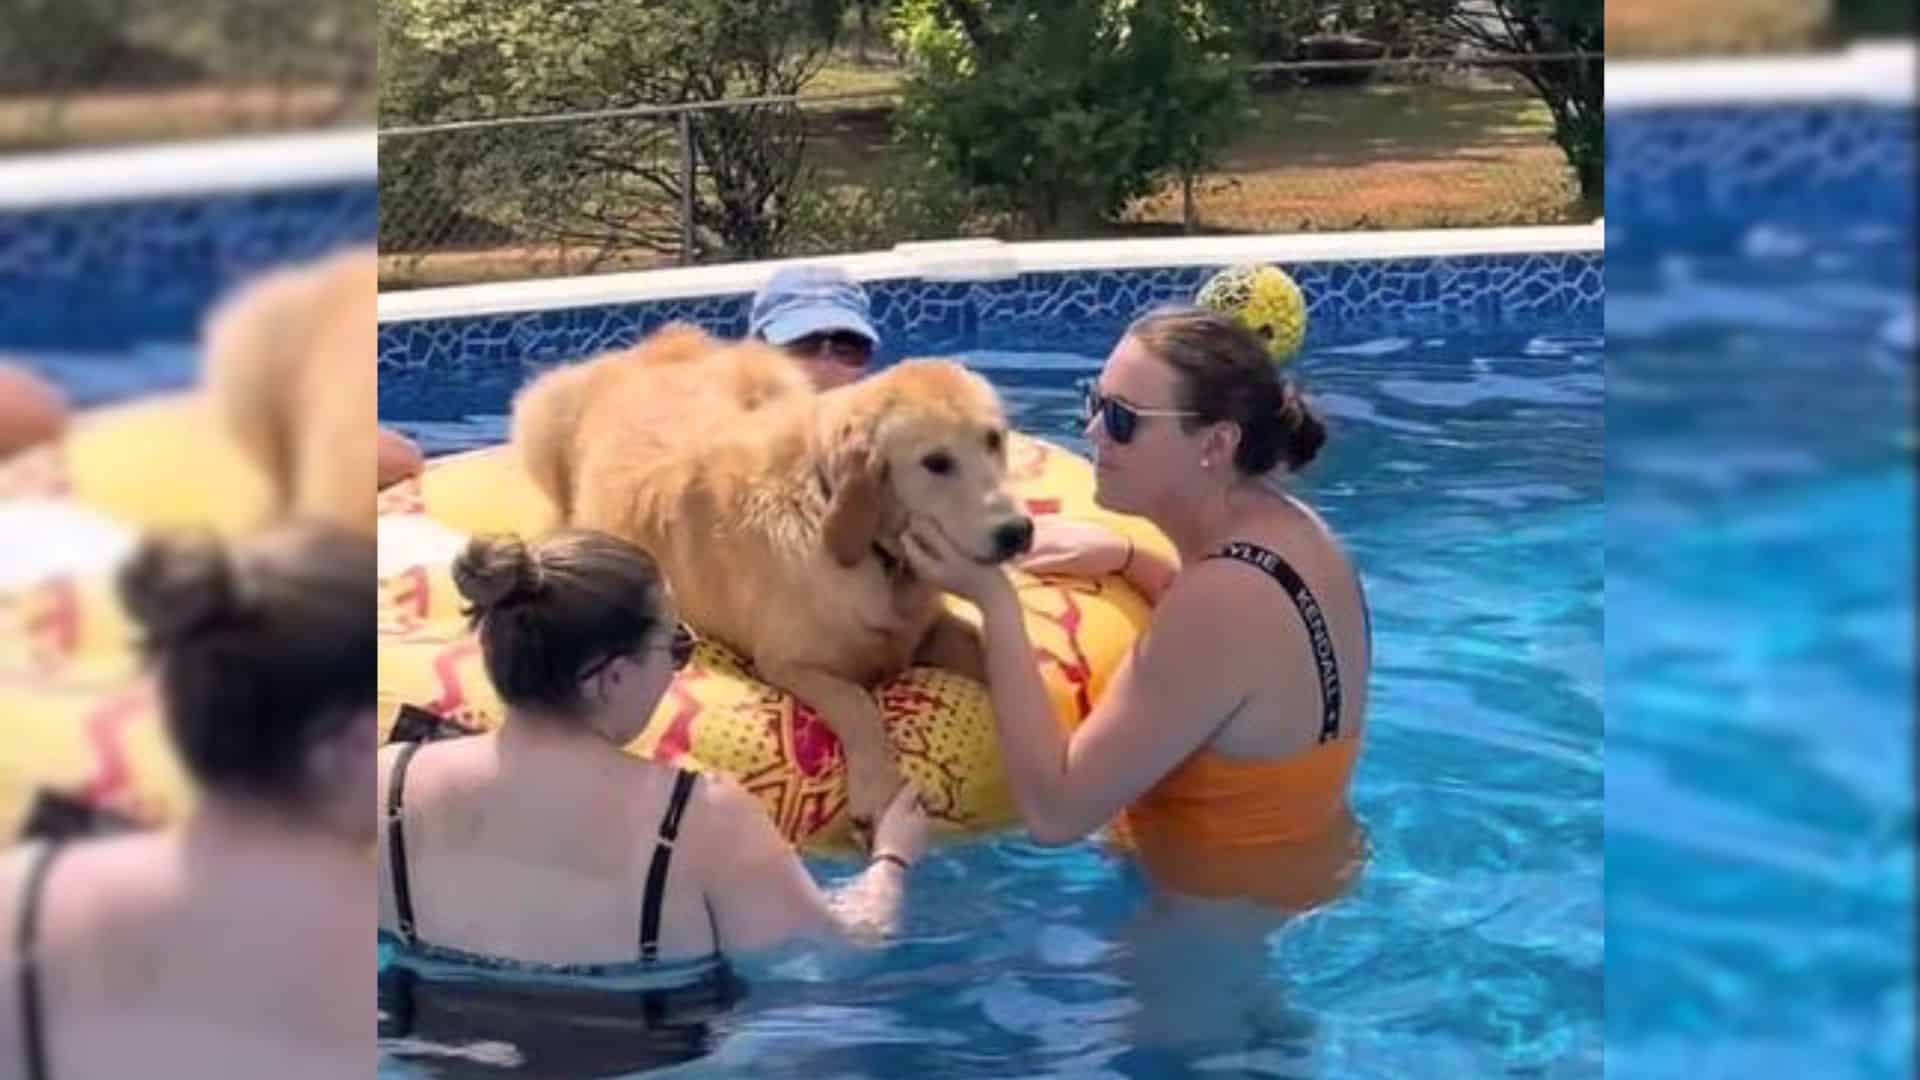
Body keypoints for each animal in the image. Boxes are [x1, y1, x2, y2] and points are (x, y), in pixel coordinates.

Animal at [503, 322, 1029, 826]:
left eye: (993, 439)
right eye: (936, 462)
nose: (1017, 531)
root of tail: (653, 347)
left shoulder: (926, 630)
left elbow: (985, 649)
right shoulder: (788, 663)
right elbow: (857, 701)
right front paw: (876, 787)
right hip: (544, 413)